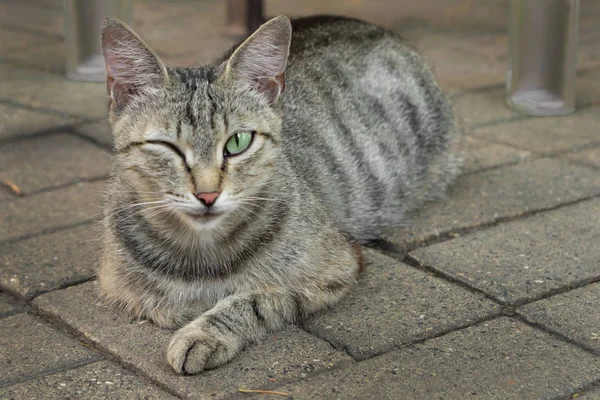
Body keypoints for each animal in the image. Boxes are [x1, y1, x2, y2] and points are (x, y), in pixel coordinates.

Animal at [98, 13, 460, 376]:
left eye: (238, 142)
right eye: (166, 146)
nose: (208, 195)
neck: (202, 253)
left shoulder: (338, 265)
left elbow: (257, 299)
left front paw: (205, 331)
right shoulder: (116, 283)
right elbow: (160, 301)